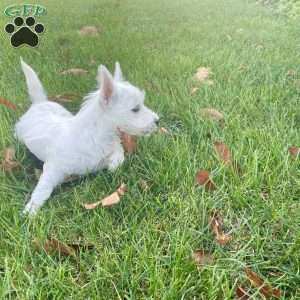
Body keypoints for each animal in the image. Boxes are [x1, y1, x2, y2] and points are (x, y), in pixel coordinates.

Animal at [15, 58, 159, 214]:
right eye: (135, 109)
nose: (157, 120)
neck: (98, 136)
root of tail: (39, 103)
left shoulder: (109, 151)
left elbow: (119, 155)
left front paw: (113, 165)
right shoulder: (54, 168)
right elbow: (43, 188)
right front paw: (31, 208)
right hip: (20, 132)